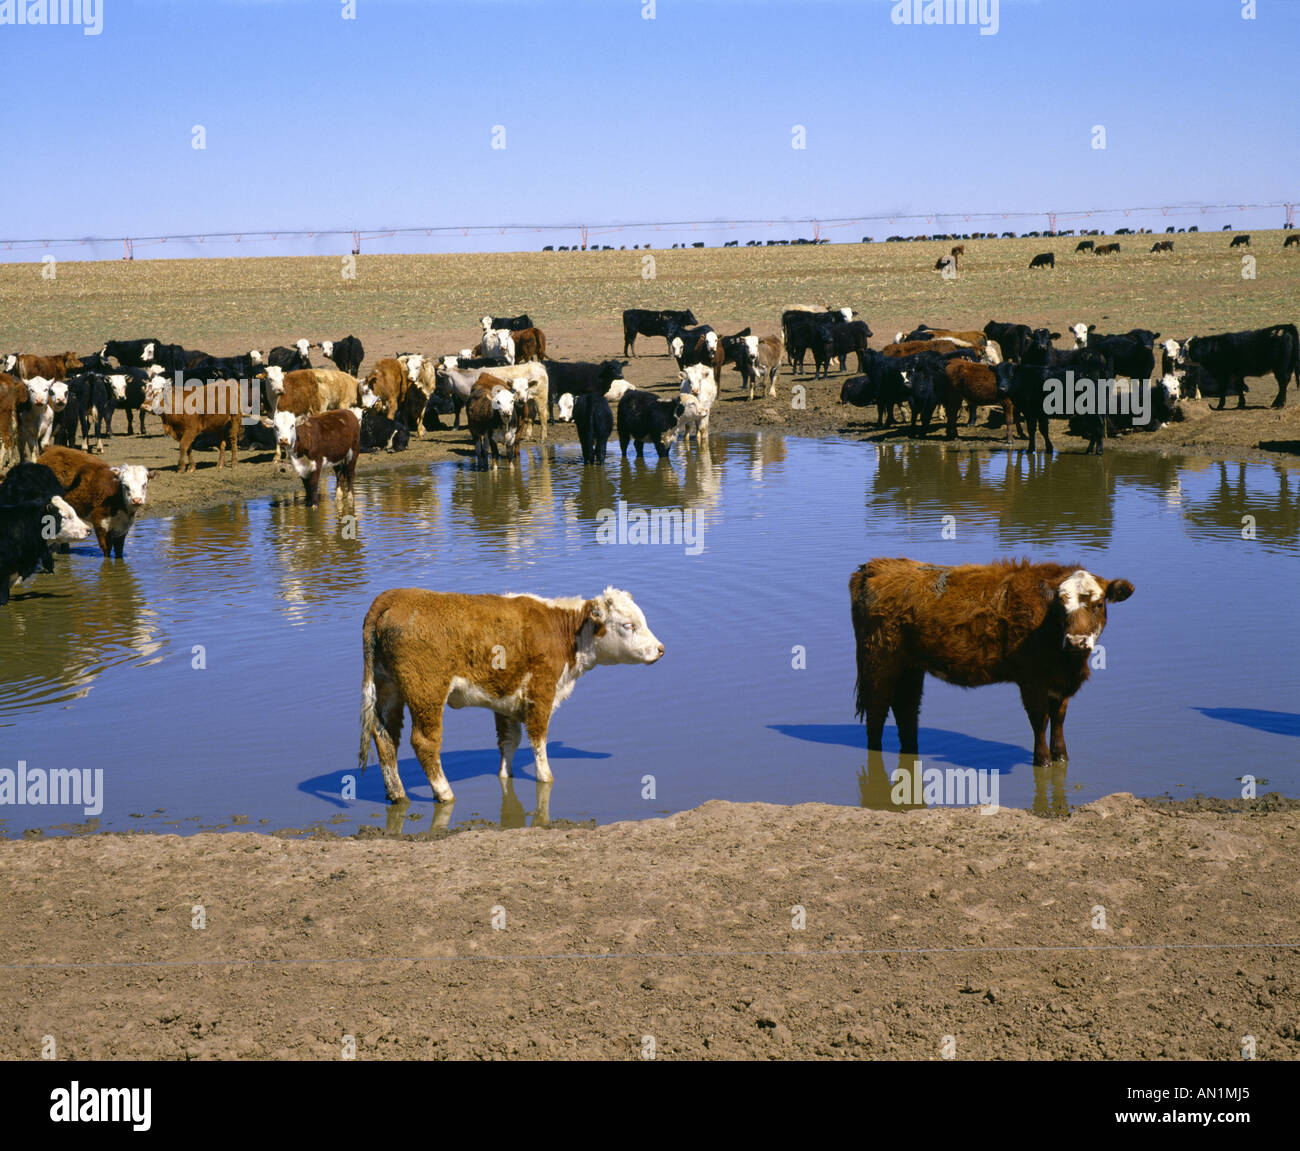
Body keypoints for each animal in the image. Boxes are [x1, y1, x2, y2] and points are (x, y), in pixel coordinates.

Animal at [358, 582, 665, 801]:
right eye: (628, 625)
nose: (660, 649)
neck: (565, 634)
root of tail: (393, 597)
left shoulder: (505, 699)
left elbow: (509, 740)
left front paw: (505, 775)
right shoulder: (541, 691)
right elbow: (538, 739)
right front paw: (546, 777)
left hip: (389, 687)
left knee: (384, 735)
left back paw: (397, 794)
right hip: (426, 692)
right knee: (424, 742)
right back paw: (444, 793)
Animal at [847, 554, 1133, 764]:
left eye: (1098, 605)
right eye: (1061, 605)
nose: (1076, 641)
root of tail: (875, 566)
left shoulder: (1059, 685)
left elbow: (1059, 720)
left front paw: (1061, 757)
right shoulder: (1031, 682)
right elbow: (1039, 720)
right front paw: (1042, 760)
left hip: (910, 667)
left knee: (906, 710)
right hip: (879, 661)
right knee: (877, 713)